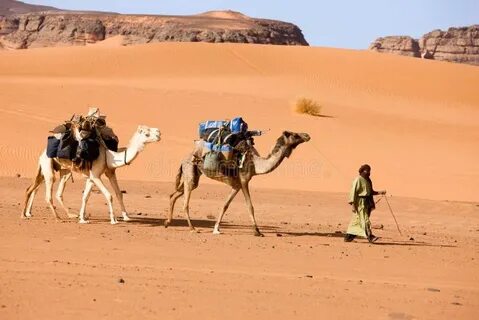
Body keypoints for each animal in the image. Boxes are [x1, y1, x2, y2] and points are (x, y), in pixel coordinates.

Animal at [21, 125, 161, 225]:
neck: (109, 156)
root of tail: (42, 152)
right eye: (146, 133)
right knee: (47, 192)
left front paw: (83, 219)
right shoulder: (95, 175)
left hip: (62, 170)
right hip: (48, 166)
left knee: (42, 189)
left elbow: (95, 196)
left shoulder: (104, 174)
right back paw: (57, 217)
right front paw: (113, 220)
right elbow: (109, 195)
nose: (159, 132)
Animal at [167, 131, 314, 236]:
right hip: (190, 173)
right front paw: (257, 231)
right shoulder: (244, 181)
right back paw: (192, 228)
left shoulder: (236, 185)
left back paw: (167, 223)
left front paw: (216, 229)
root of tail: (183, 160)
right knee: (185, 203)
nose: (307, 135)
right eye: (295, 135)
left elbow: (225, 205)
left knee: (173, 195)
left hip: (193, 175)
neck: (256, 165)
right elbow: (250, 206)